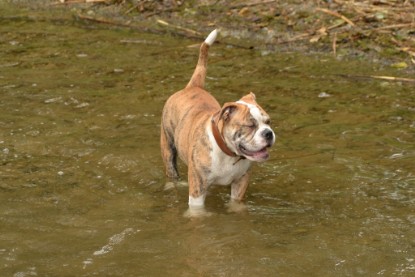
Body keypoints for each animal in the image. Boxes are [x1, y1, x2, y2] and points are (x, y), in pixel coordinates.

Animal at [161, 29, 274, 208]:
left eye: (268, 122)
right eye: (250, 125)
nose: (268, 133)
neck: (228, 153)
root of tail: (193, 86)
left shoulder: (240, 184)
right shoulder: (197, 189)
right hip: (168, 147)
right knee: (171, 171)